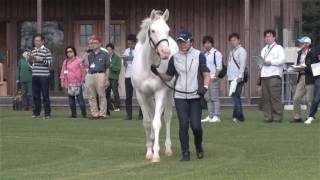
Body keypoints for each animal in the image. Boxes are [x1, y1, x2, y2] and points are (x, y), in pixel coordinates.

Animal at [131, 9, 179, 162]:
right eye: (152, 30)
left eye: (168, 30)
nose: (165, 52)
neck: (149, 67)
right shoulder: (141, 95)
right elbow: (147, 122)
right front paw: (149, 151)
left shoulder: (160, 93)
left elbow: (157, 123)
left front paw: (156, 154)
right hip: (149, 97)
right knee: (152, 115)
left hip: (168, 94)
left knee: (167, 117)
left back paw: (167, 149)